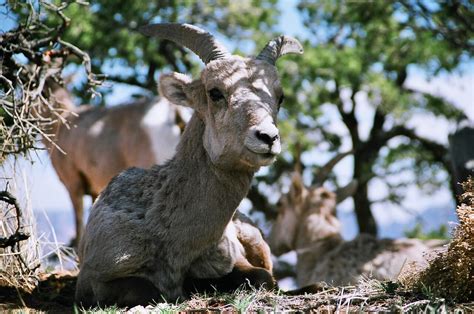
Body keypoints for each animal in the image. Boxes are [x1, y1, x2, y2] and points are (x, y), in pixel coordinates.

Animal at [75, 22, 304, 306]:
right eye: (215, 92)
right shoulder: (93, 280)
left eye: (280, 97)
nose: (268, 137)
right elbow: (148, 290)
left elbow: (261, 276)